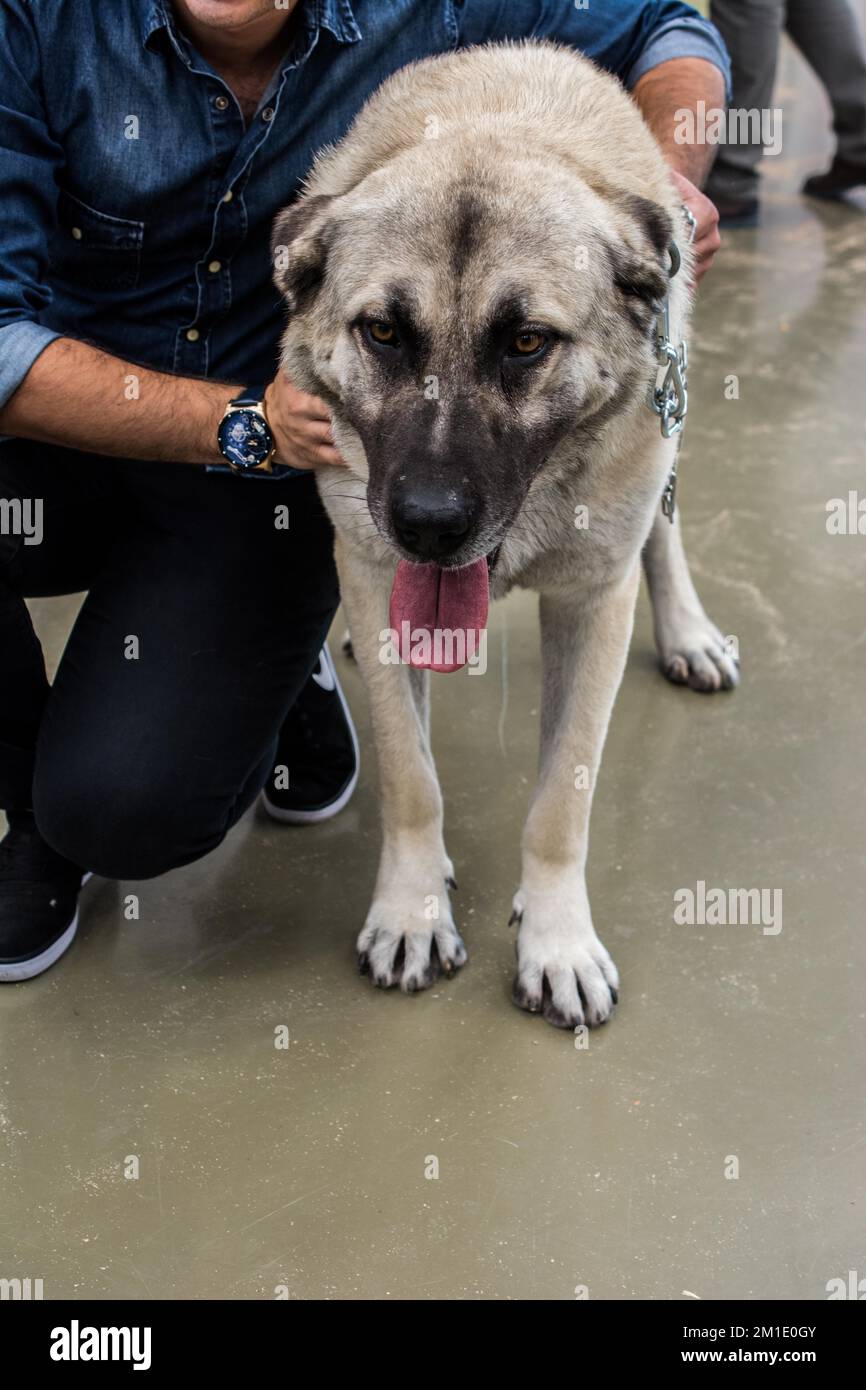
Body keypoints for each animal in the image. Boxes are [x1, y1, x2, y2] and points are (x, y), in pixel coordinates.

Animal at [271, 40, 739, 1034]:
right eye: (383, 331)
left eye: (526, 341)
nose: (429, 524)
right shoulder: (369, 568)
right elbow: (412, 776)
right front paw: (412, 910)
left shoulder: (592, 603)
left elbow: (560, 803)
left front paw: (556, 943)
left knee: (664, 527)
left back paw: (687, 630)